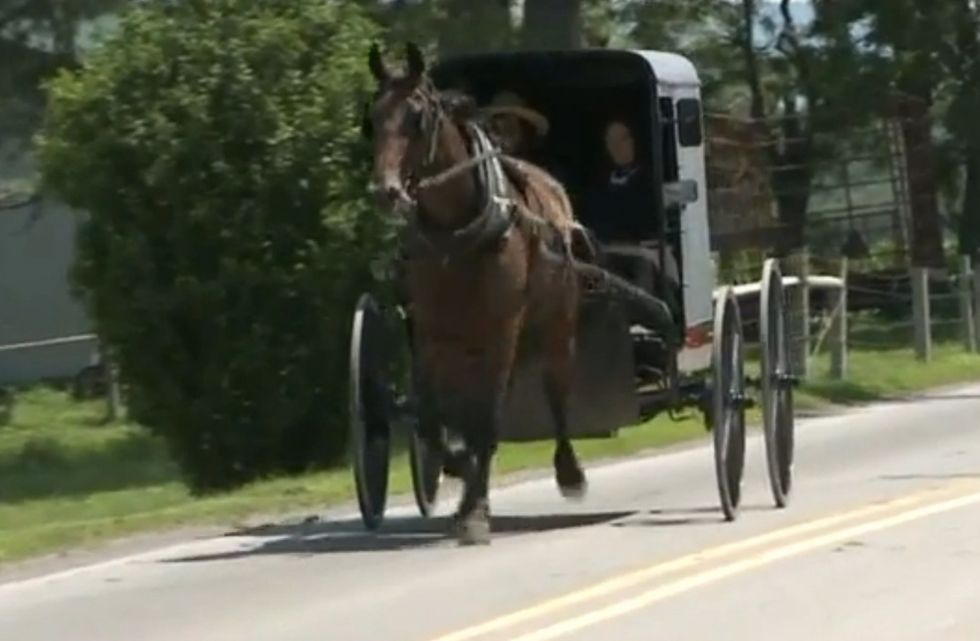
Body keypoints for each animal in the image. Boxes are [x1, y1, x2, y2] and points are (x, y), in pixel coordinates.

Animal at [364, 42, 676, 544]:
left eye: (417, 117)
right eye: (371, 118)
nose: (386, 191)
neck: (458, 229)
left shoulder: (502, 327)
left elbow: (487, 419)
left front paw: (475, 511)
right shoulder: (430, 329)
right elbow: (432, 418)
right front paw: (456, 469)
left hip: (555, 326)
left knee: (554, 392)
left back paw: (568, 472)